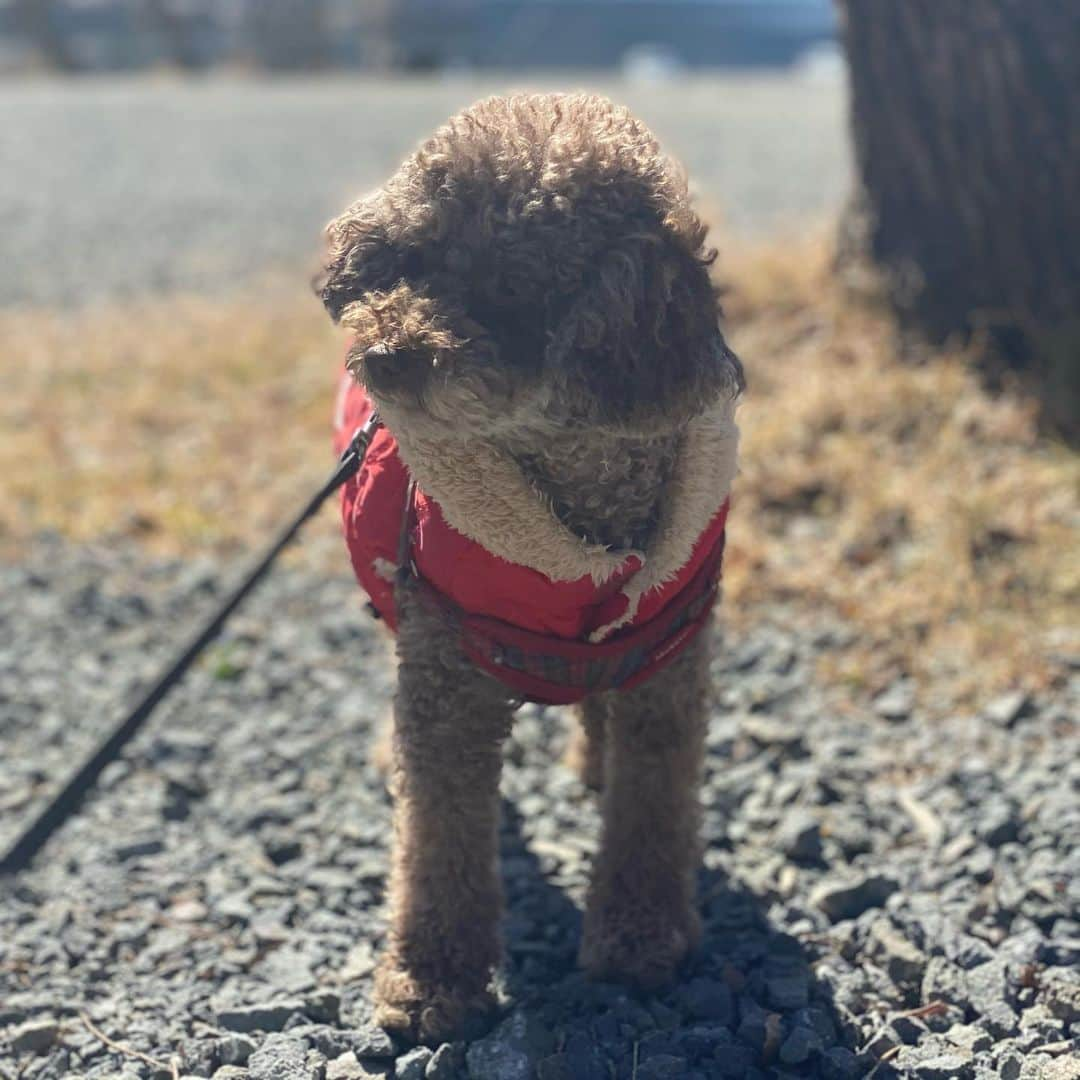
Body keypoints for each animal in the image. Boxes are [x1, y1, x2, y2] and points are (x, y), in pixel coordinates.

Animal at [317, 95, 743, 1045]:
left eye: (510, 293)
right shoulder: (446, 678)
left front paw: (641, 937)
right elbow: (438, 838)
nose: (389, 353)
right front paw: (432, 980)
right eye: (410, 258)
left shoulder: (667, 662)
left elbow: (651, 807)